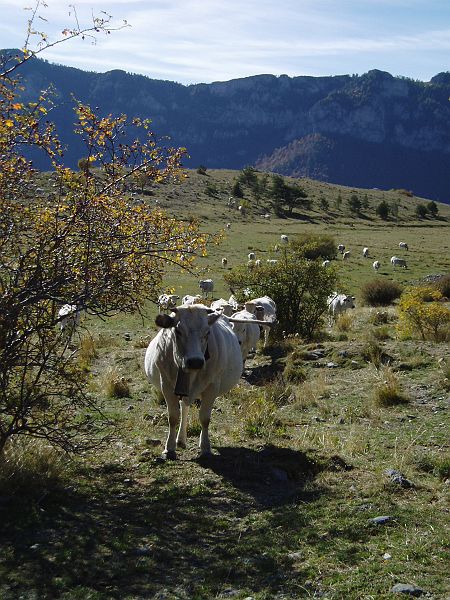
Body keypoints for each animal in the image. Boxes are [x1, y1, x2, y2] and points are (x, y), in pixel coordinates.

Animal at [144, 304, 243, 460]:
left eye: (207, 332)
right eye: (177, 331)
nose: (195, 361)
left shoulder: (212, 387)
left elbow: (205, 418)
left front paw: (205, 448)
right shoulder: (166, 386)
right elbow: (173, 417)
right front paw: (169, 448)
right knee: (184, 407)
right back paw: (180, 440)